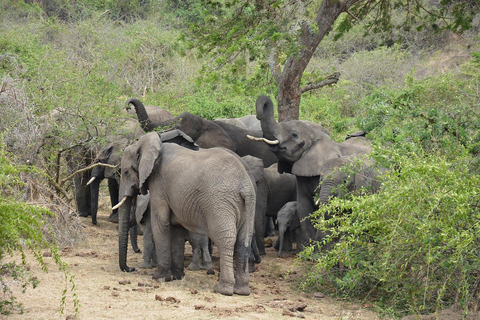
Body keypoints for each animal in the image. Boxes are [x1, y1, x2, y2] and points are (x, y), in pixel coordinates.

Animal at [115, 132, 255, 296]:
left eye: (126, 172)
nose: (131, 269)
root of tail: (245, 186)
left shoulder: (159, 184)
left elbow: (160, 223)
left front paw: (159, 277)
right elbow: (177, 229)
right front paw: (177, 276)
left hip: (220, 203)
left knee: (225, 240)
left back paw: (223, 289)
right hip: (246, 206)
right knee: (242, 241)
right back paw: (242, 290)